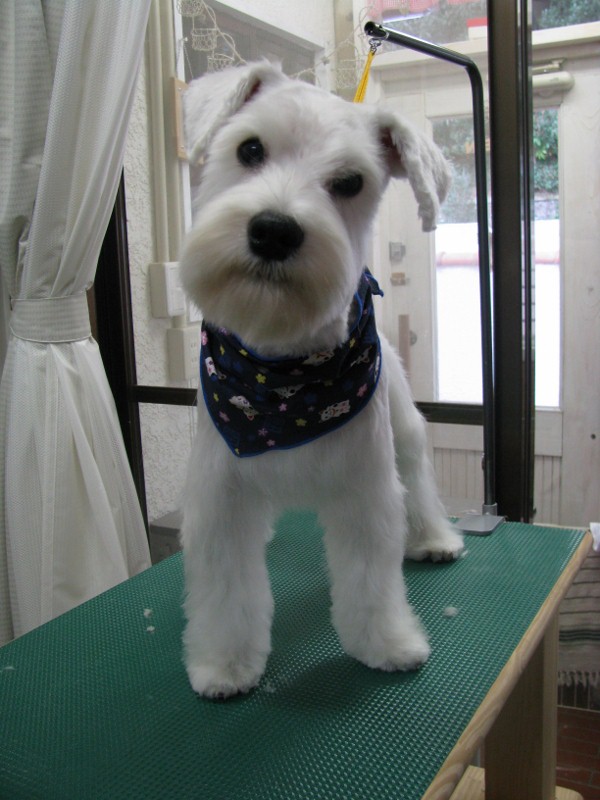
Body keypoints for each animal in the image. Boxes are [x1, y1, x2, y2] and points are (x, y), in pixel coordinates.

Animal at [178, 61, 464, 699]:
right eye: (250, 148)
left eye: (350, 181)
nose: (274, 230)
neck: (283, 382)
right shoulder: (220, 499)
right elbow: (228, 591)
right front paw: (225, 664)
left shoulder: (366, 491)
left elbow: (370, 580)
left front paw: (386, 644)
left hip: (403, 429)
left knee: (420, 477)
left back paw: (434, 538)